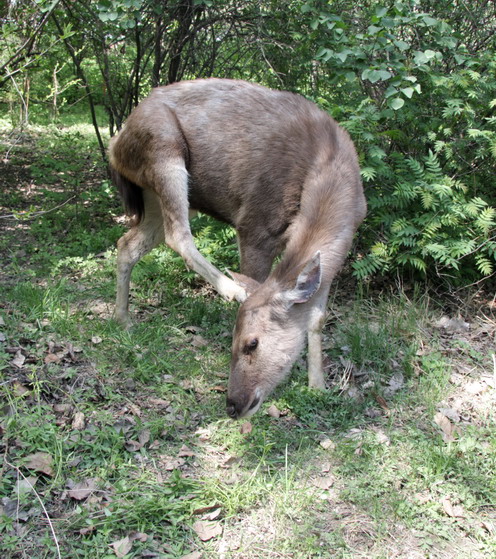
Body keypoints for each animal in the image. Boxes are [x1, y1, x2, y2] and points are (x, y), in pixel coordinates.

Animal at [109, 79, 364, 420]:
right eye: (240, 341)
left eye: (251, 344)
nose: (233, 405)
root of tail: (116, 144)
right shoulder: (255, 224)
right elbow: (257, 281)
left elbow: (317, 318)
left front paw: (318, 386)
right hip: (163, 151)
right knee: (177, 234)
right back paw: (230, 289)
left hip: (154, 194)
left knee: (128, 243)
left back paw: (123, 318)